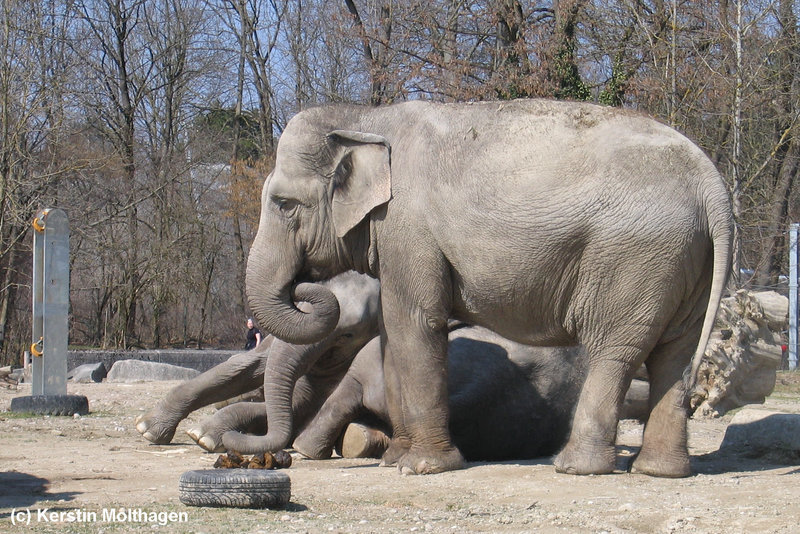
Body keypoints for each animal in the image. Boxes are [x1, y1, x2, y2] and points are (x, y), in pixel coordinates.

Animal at [244, 98, 732, 480]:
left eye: (284, 204)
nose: (304, 287)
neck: (365, 115)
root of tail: (712, 183)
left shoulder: (408, 226)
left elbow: (414, 323)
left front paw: (420, 467)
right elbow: (389, 334)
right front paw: (395, 461)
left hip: (633, 258)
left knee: (615, 352)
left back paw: (575, 467)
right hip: (686, 259)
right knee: (675, 353)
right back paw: (659, 471)